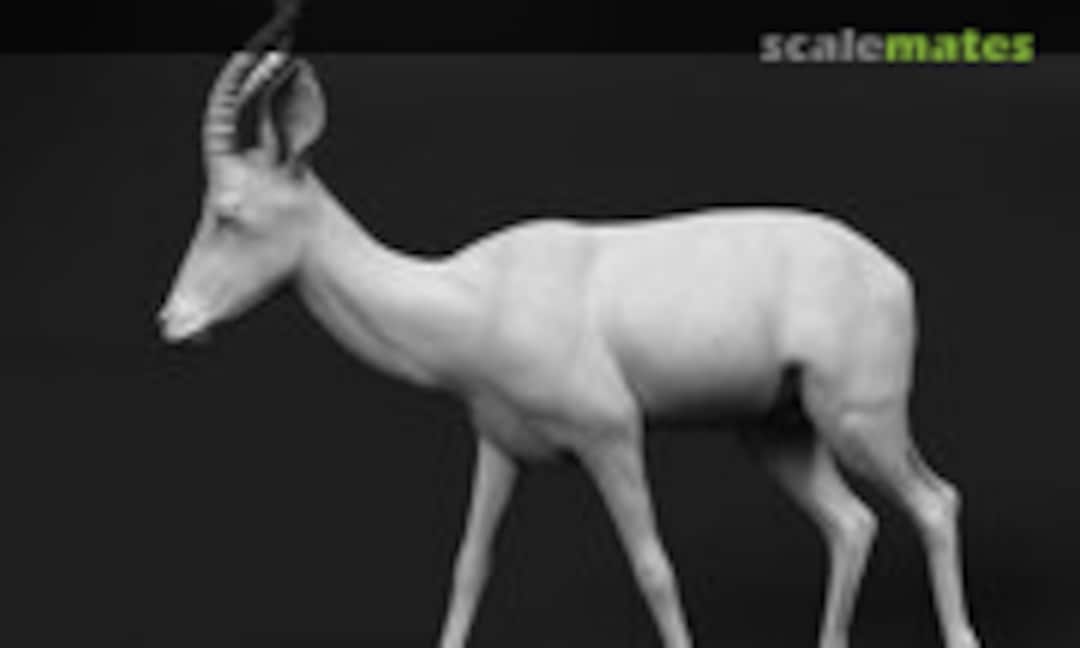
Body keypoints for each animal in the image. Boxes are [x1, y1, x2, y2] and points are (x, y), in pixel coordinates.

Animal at [158, 2, 981, 647]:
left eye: (228, 213)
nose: (172, 322)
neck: (480, 296)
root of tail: (894, 273)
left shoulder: (612, 436)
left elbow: (654, 570)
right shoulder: (499, 448)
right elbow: (469, 567)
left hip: (859, 419)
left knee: (934, 501)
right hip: (778, 430)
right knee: (851, 523)